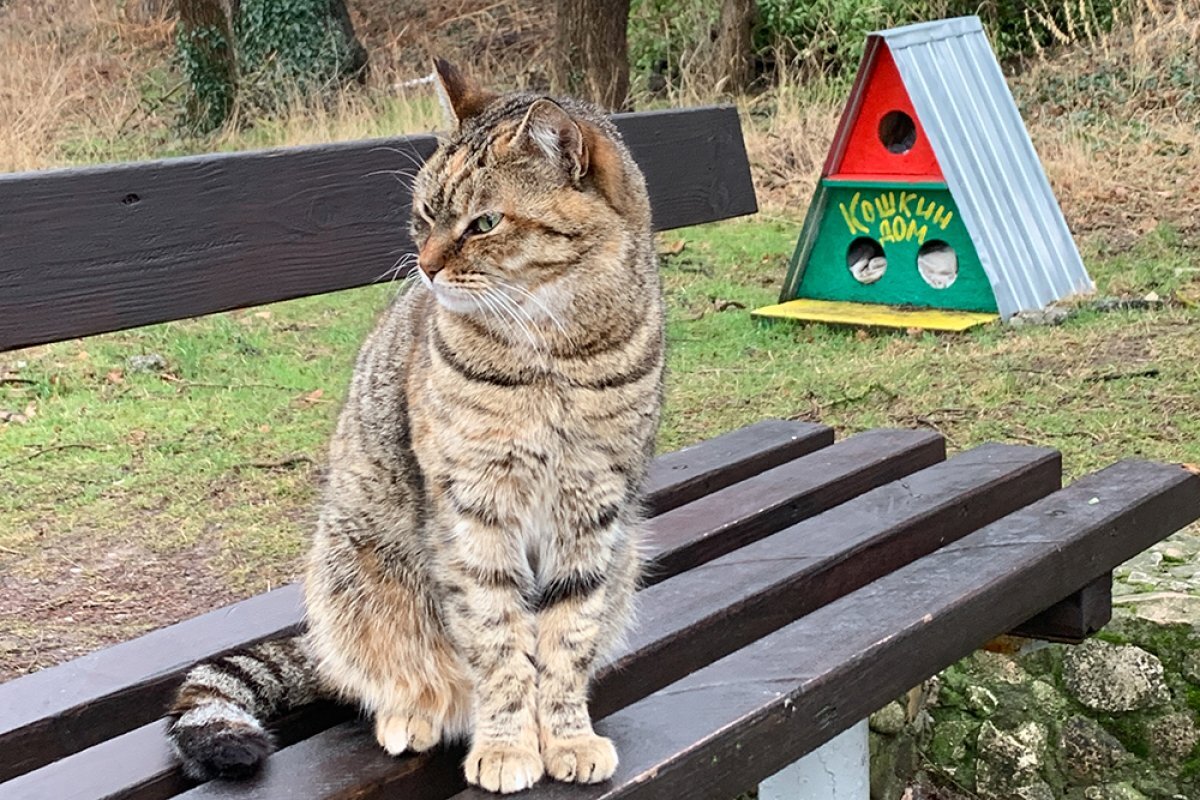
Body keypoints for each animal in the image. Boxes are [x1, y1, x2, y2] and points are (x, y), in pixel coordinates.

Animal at [166, 61, 667, 796]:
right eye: (425, 215)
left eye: (484, 223)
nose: (426, 267)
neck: (555, 355)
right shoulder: (473, 507)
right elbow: (499, 646)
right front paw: (507, 744)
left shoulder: (594, 509)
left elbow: (565, 642)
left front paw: (567, 736)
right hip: (353, 573)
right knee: (387, 672)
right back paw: (414, 713)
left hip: (626, 554)